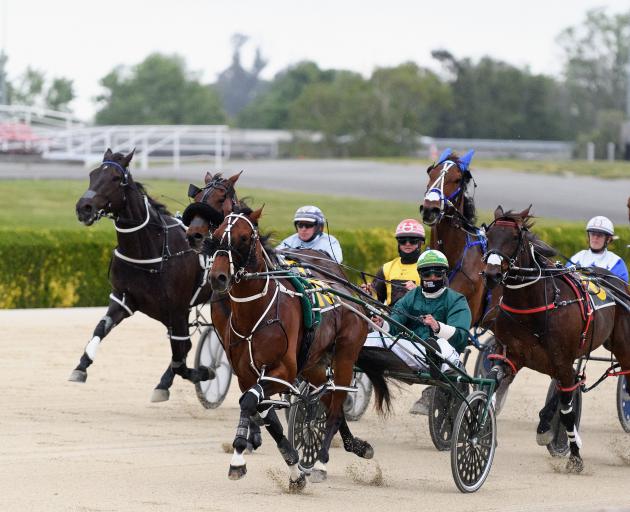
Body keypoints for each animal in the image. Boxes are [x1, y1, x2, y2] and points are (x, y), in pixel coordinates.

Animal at [71, 150, 215, 402]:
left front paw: (205, 372)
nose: (84, 207)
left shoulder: (177, 309)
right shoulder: (124, 299)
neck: (152, 250)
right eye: (92, 174)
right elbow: (101, 327)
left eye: (116, 178)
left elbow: (181, 358)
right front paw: (82, 365)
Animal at [207, 207, 378, 488]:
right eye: (217, 234)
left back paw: (321, 462)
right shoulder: (247, 376)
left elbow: (249, 402)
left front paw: (238, 458)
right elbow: (264, 414)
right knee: (329, 400)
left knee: (336, 406)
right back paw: (357, 445)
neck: (256, 314)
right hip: (313, 365)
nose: (217, 277)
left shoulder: (283, 373)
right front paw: (294, 467)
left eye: (244, 237)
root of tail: (348, 292)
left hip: (345, 356)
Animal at [484, 205, 630, 472]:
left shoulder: (561, 360)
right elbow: (492, 388)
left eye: (514, 238)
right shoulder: (510, 357)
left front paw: (574, 456)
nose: (491, 274)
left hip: (623, 350)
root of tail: (619, 284)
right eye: (488, 235)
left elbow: (567, 410)